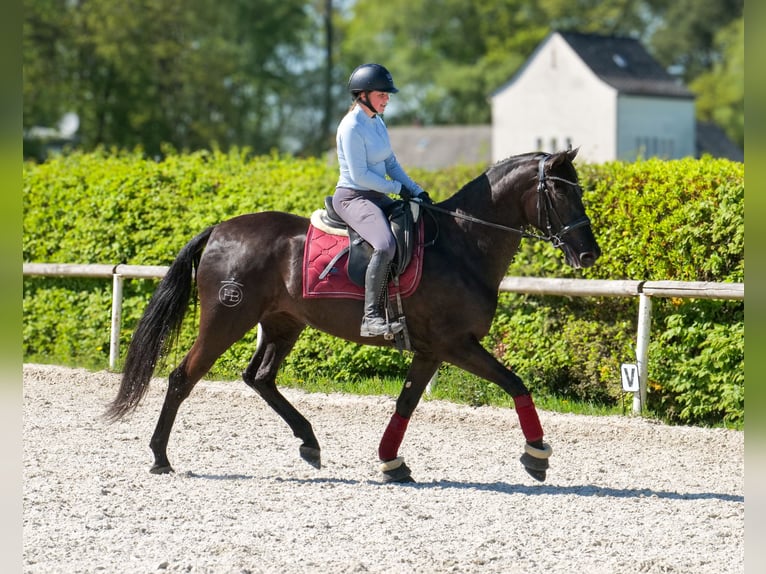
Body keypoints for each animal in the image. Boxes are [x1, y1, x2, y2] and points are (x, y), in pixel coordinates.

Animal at [106, 148, 600, 483]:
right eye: (559, 190)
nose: (589, 254)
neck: (461, 244)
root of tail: (220, 230)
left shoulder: (431, 351)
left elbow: (405, 403)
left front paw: (391, 462)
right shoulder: (456, 344)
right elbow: (516, 383)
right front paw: (536, 454)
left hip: (283, 323)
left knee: (259, 377)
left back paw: (309, 442)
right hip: (226, 320)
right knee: (182, 377)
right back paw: (160, 457)